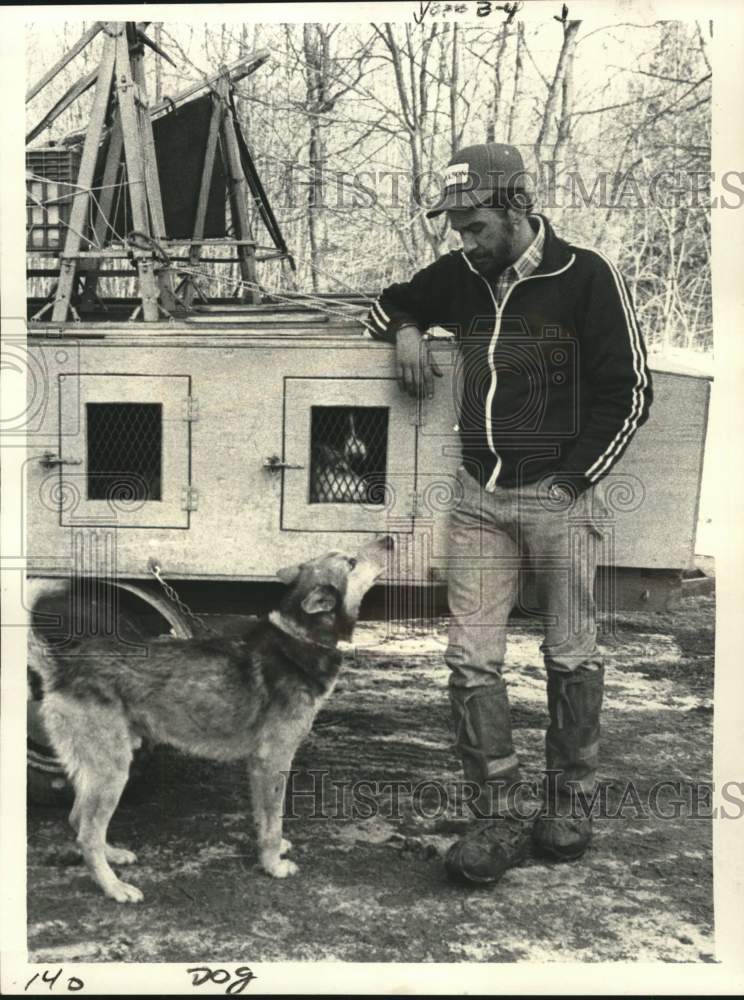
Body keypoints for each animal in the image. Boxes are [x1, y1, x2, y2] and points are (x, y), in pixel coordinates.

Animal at [29, 540, 392, 908]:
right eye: (352, 561)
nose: (388, 541)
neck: (299, 637)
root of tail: (64, 667)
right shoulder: (274, 761)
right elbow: (274, 821)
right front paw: (273, 865)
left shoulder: (258, 766)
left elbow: (264, 818)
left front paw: (271, 851)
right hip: (112, 771)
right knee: (87, 834)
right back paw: (115, 887)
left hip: (103, 768)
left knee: (78, 820)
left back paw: (113, 854)